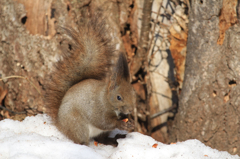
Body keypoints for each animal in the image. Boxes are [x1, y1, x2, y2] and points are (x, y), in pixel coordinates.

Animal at [44, 16, 135, 145]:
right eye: (118, 97)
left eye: (134, 94)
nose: (130, 110)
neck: (106, 98)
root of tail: (61, 125)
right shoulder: (98, 109)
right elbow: (103, 122)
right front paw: (120, 124)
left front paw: (130, 121)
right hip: (78, 125)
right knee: (81, 139)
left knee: (101, 139)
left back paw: (112, 140)